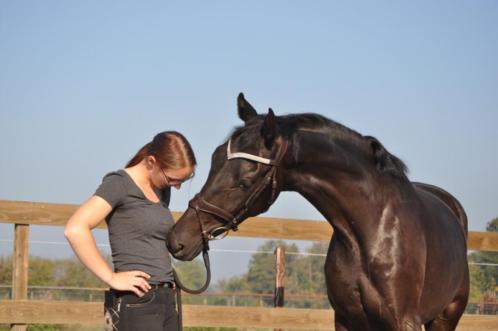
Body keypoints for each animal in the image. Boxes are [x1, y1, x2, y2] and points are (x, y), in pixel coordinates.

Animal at [169, 94, 468, 331]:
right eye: (214, 160)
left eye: (244, 182)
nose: (178, 240)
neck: (371, 232)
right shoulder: (346, 320)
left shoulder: (403, 321)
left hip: (446, 316)